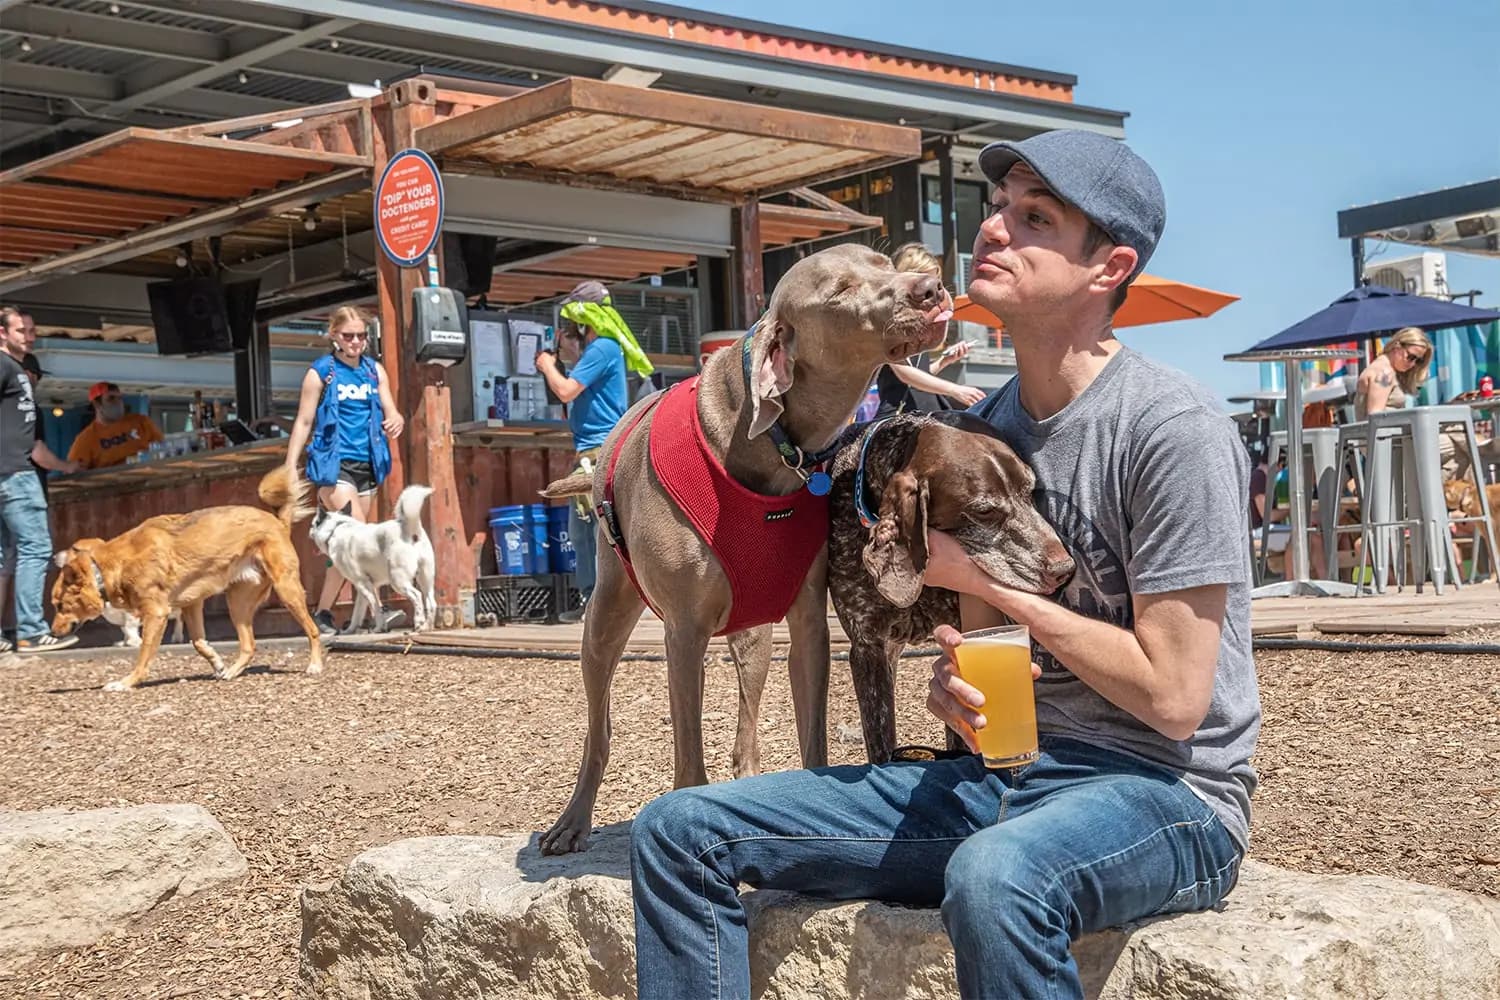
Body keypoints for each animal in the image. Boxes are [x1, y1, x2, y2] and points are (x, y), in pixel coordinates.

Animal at [51, 467, 324, 689]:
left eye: (60, 605)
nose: (52, 633)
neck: (108, 568)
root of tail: (279, 523)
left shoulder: (157, 613)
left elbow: (144, 653)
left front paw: (127, 682)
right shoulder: (191, 603)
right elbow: (198, 642)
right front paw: (217, 663)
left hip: (287, 590)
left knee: (312, 630)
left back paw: (315, 665)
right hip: (237, 602)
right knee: (249, 645)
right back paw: (232, 671)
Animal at [307, 485, 438, 632]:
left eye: (313, 524)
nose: (309, 531)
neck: (337, 527)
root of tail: (409, 527)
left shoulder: (364, 584)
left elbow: (375, 608)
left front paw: (378, 628)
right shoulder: (362, 587)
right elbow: (357, 613)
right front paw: (350, 630)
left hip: (397, 580)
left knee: (417, 596)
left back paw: (419, 622)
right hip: (425, 577)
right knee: (431, 602)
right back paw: (427, 626)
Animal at [534, 242, 942, 851]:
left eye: (885, 263)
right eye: (839, 292)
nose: (931, 287)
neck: (772, 448)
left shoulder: (808, 625)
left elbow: (813, 737)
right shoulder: (684, 632)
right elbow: (687, 758)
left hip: (753, 633)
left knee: (746, 721)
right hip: (605, 614)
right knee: (598, 726)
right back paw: (572, 821)